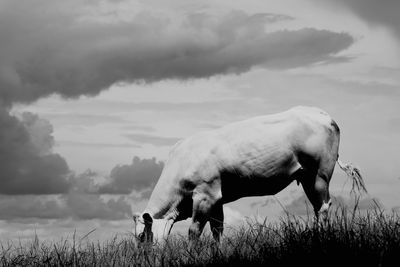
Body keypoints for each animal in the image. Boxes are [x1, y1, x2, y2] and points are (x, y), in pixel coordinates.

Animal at [134, 106, 366, 243]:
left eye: (142, 235)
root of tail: (323, 114)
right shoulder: (217, 199)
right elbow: (217, 230)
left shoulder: (205, 194)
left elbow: (194, 230)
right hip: (308, 177)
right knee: (319, 208)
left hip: (319, 174)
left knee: (323, 207)